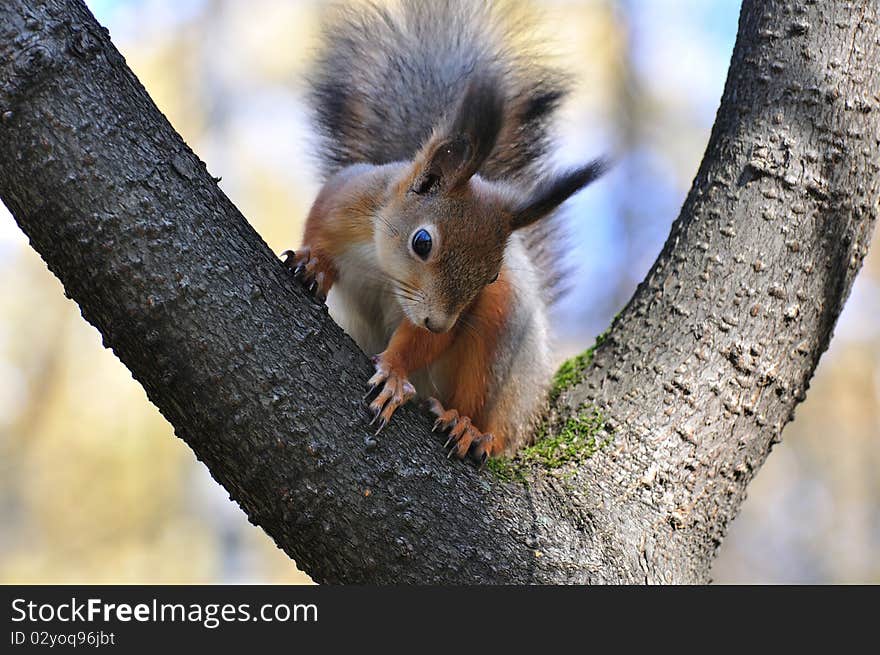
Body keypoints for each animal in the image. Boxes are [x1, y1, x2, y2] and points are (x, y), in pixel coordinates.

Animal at [282, 0, 604, 464]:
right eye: (423, 242)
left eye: (491, 274)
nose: (437, 321)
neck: (383, 267)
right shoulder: (345, 198)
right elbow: (317, 229)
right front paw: (315, 265)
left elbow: (421, 342)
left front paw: (395, 373)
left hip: (502, 351)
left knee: (493, 415)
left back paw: (470, 428)